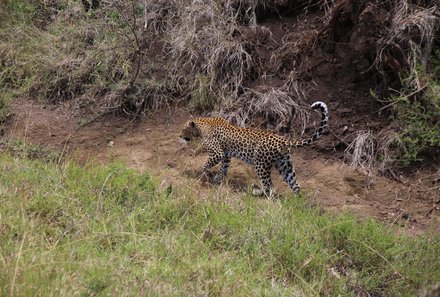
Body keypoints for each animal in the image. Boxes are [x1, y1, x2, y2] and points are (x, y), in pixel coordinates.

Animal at [180, 100, 328, 195]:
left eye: (183, 129)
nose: (180, 135)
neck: (203, 125)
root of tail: (283, 140)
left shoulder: (218, 153)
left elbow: (205, 165)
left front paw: (208, 174)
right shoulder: (226, 155)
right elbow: (223, 168)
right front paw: (217, 178)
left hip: (260, 164)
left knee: (269, 187)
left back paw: (257, 192)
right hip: (285, 164)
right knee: (295, 185)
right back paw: (296, 203)